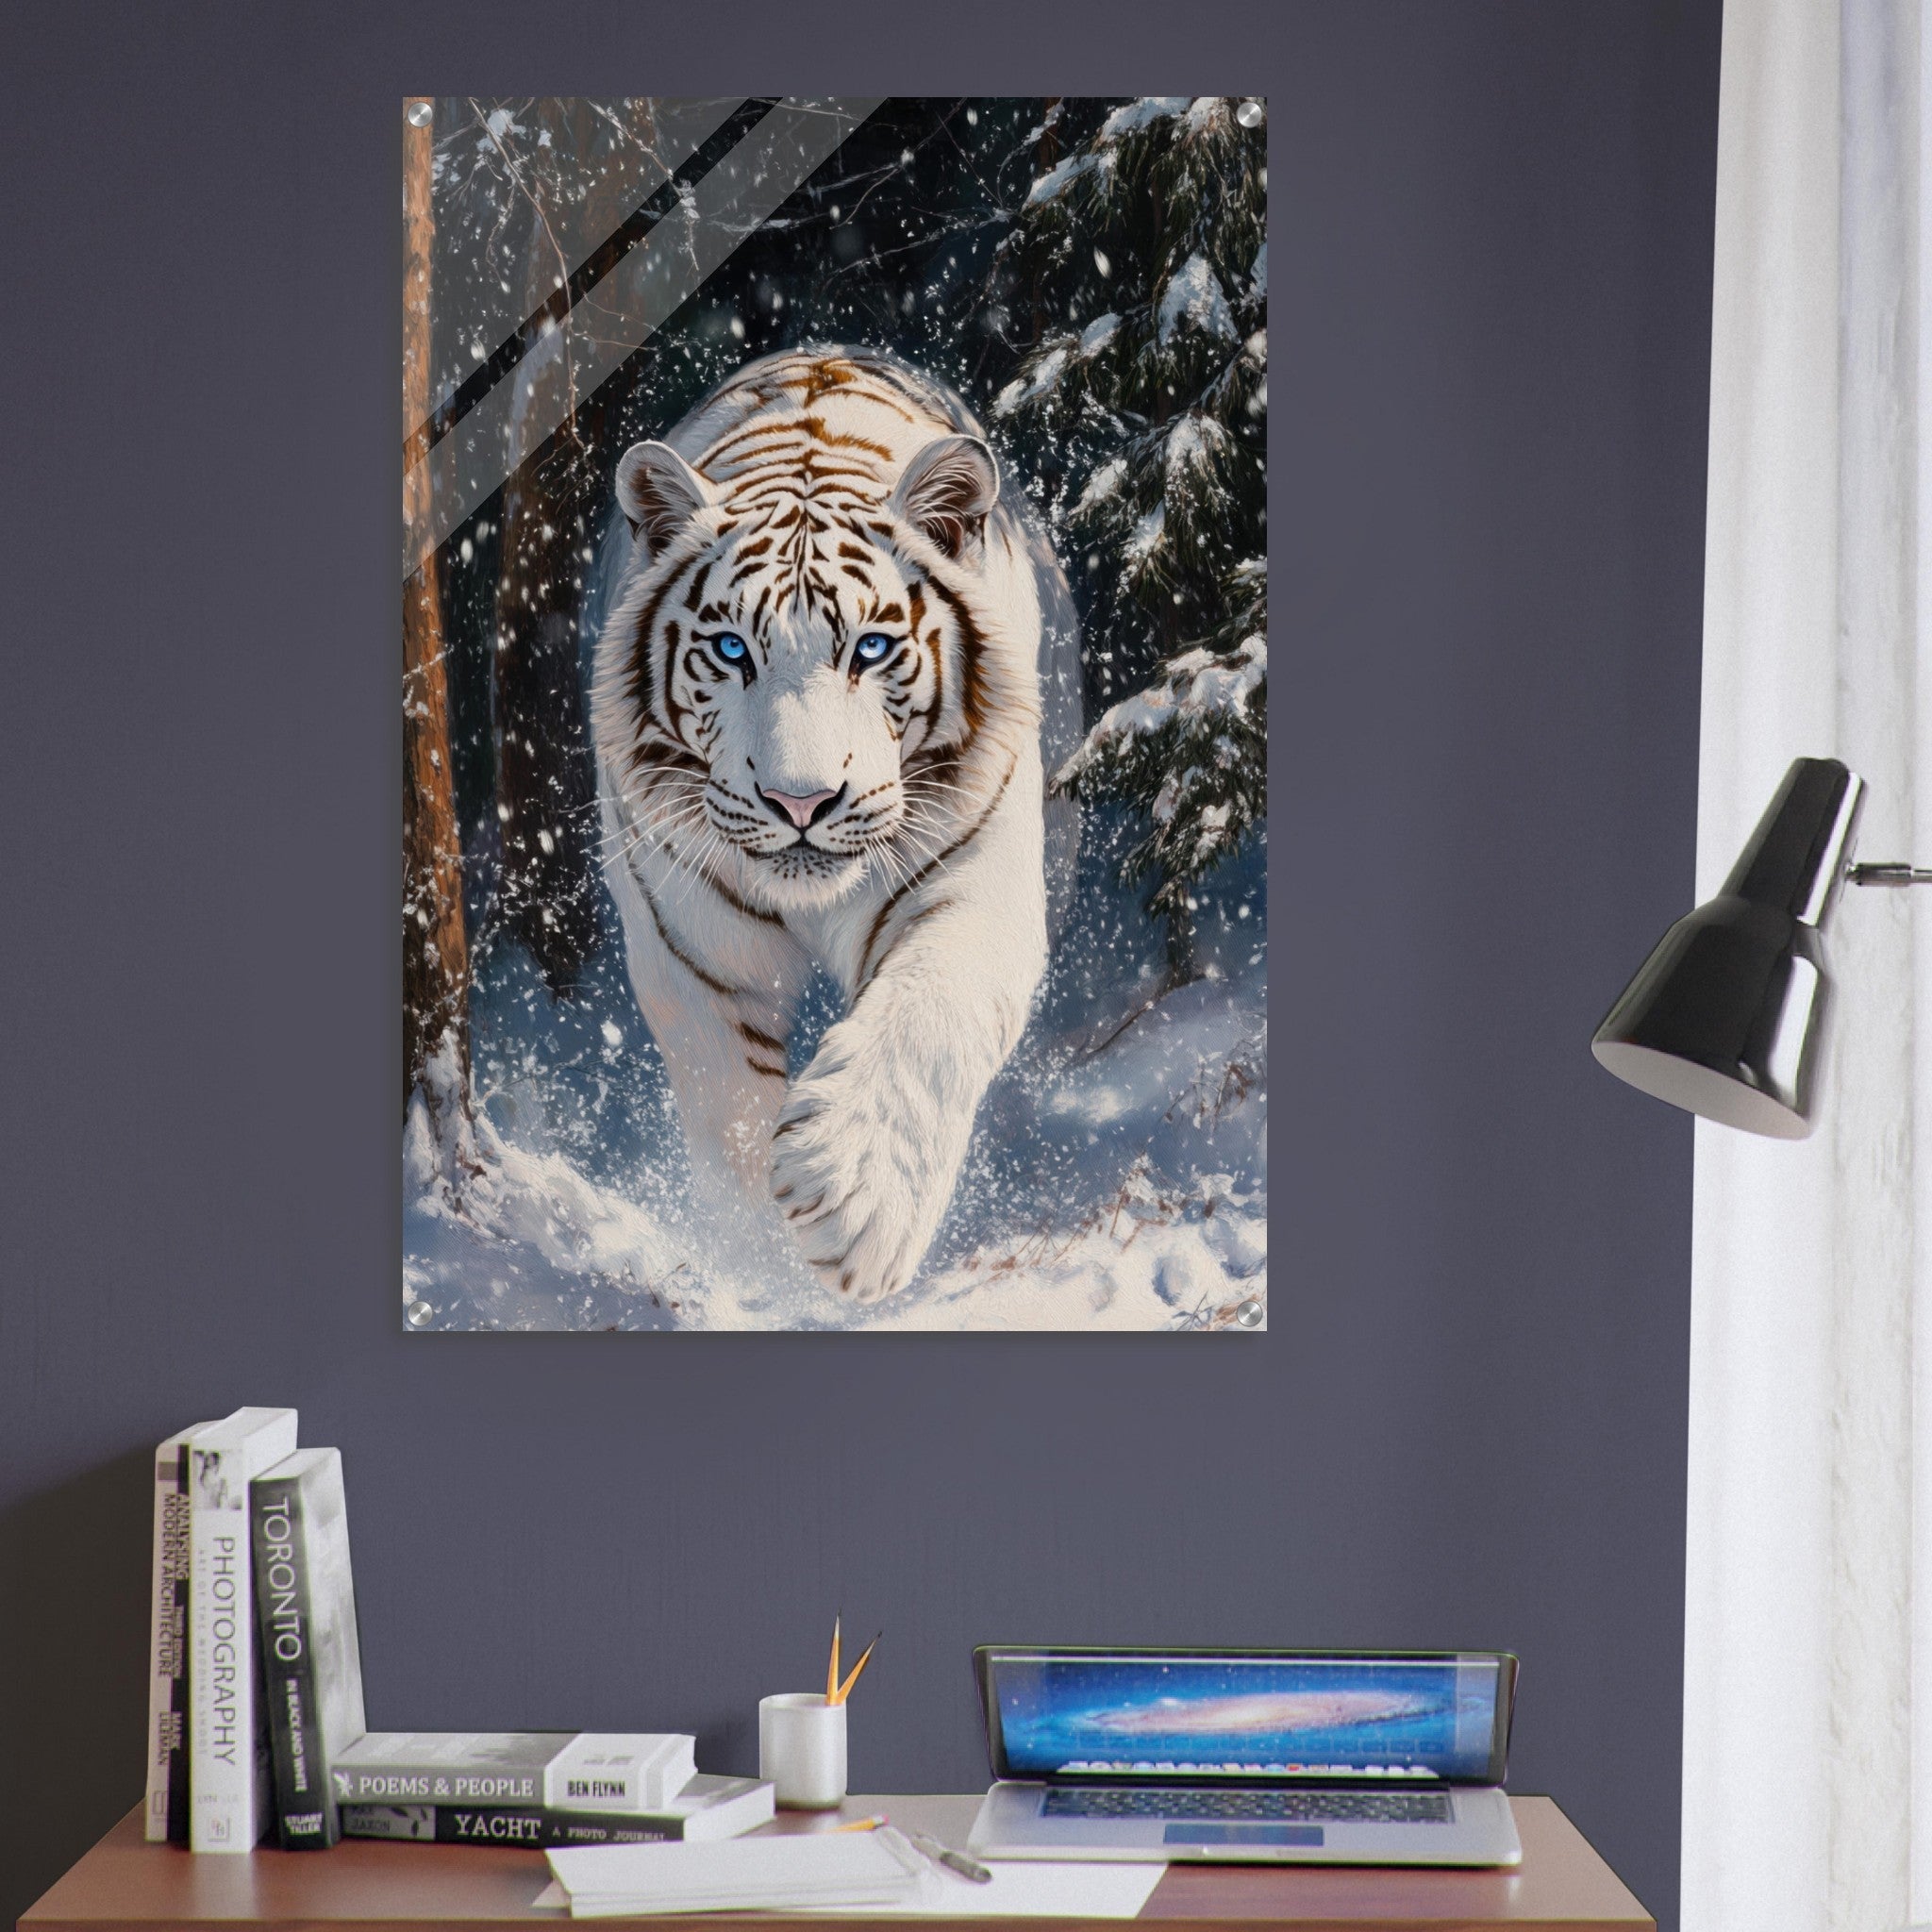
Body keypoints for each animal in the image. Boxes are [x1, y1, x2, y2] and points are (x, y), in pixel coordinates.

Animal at [590, 346, 1064, 1306]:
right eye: (731, 649)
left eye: (871, 649)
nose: (801, 802)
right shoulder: (689, 946)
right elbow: (725, 1105)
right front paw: (765, 1264)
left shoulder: (977, 883)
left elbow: (930, 1016)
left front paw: (853, 1199)